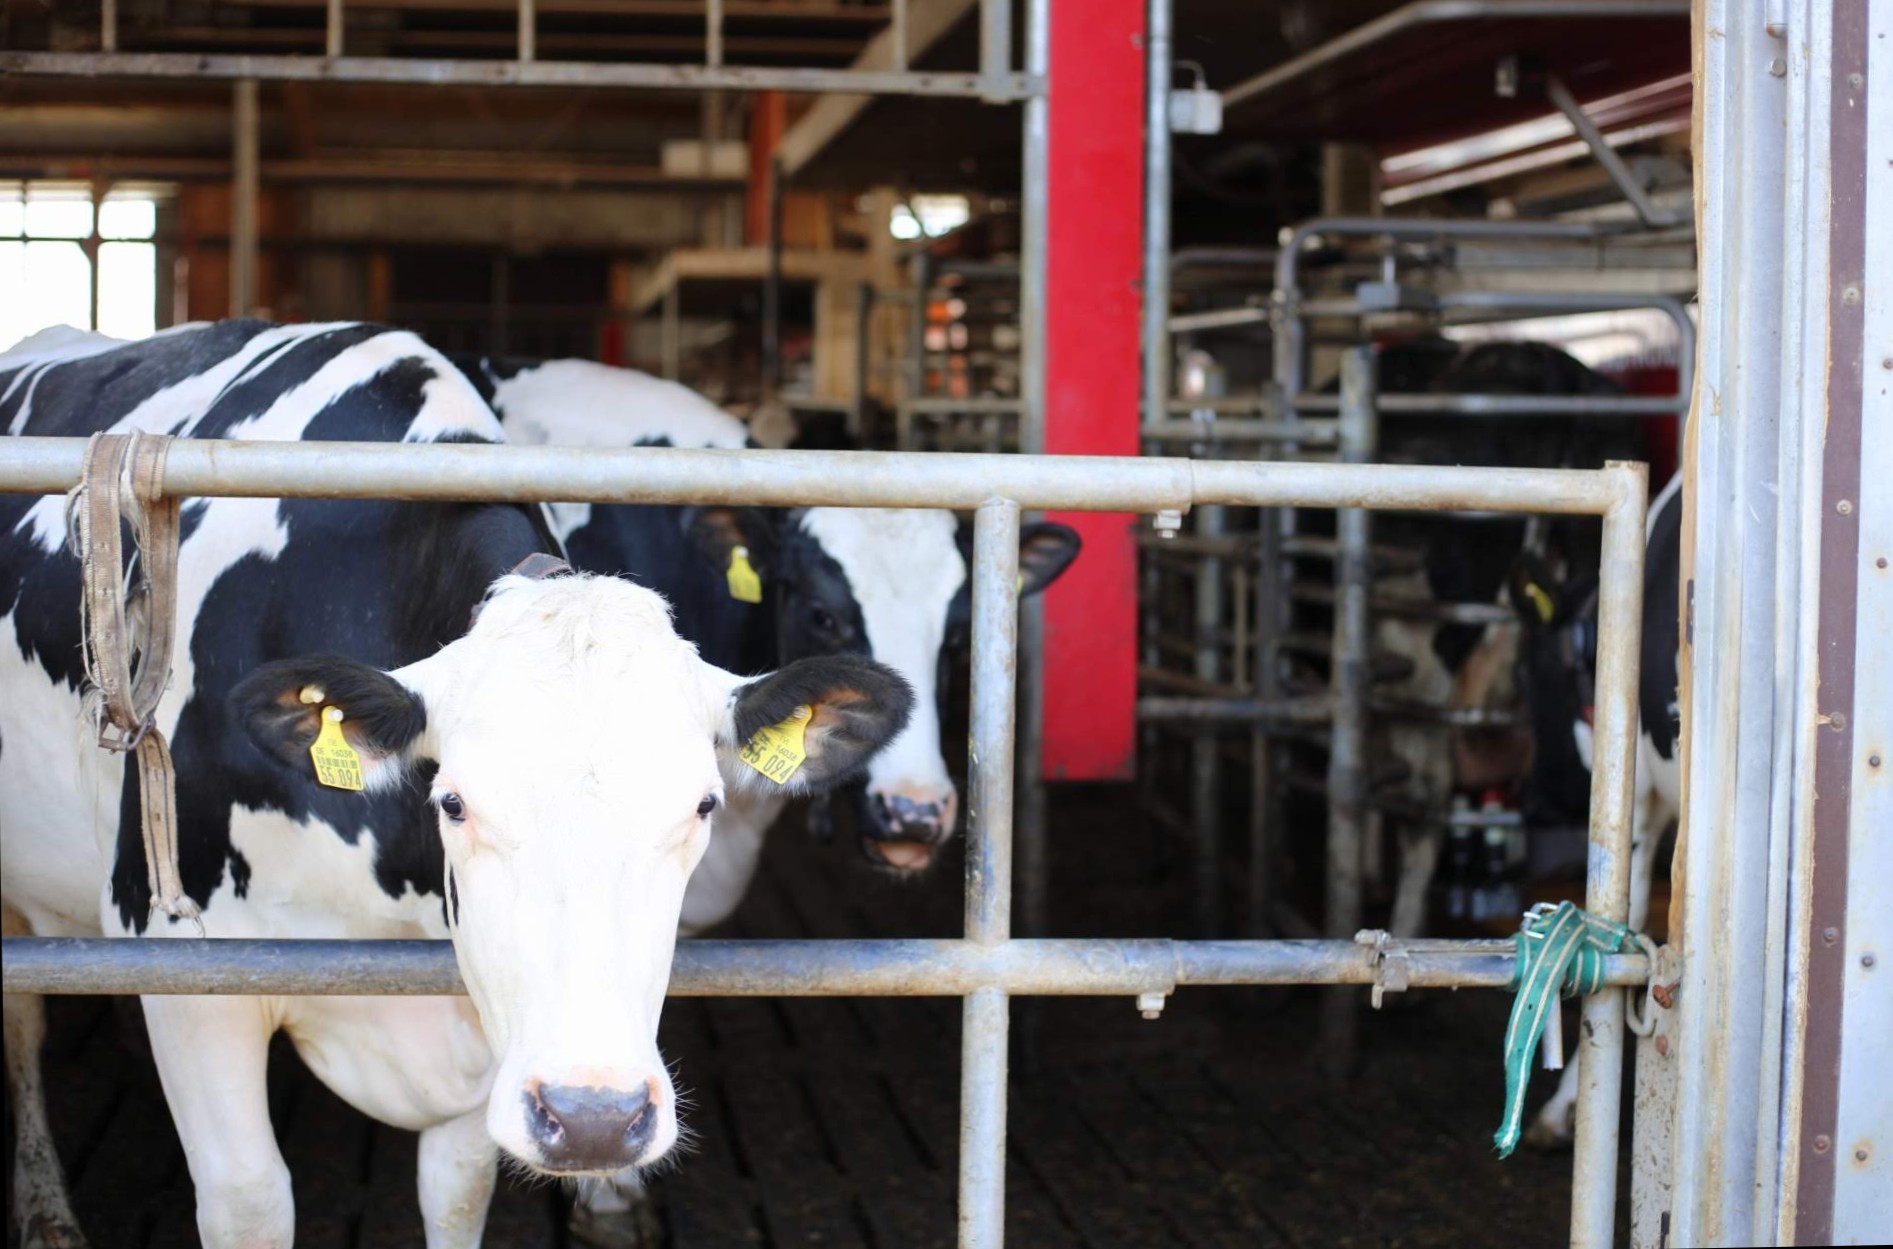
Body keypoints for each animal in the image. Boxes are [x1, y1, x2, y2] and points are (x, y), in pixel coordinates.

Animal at [0, 323, 916, 1249]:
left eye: (701, 805)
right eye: (454, 801)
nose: (593, 1118)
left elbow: (458, 1191)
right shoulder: (180, 959)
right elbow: (250, 1198)